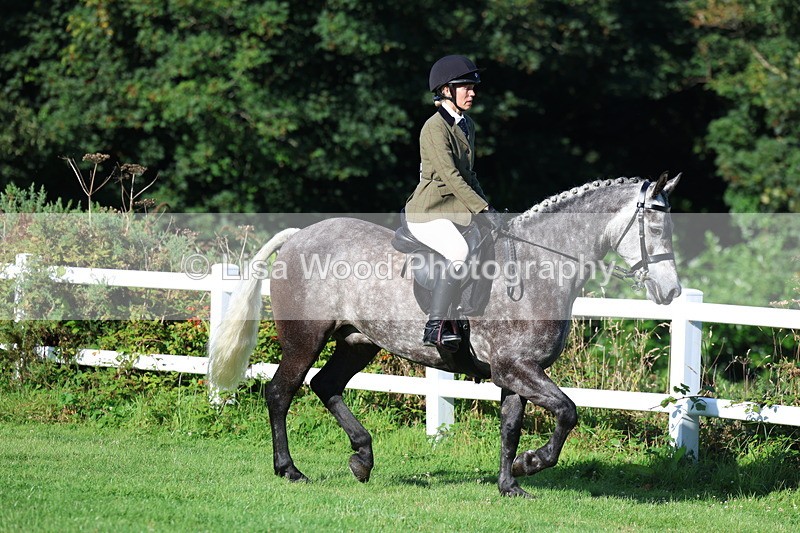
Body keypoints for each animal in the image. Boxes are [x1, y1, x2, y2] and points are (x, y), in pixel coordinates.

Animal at [207, 173, 681, 498]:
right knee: (280, 393)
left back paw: (362, 458)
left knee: (327, 385)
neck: (537, 267)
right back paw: (290, 469)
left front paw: (510, 484)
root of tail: (300, 236)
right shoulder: (517, 368)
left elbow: (510, 427)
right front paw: (530, 464)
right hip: (304, 340)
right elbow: (567, 412)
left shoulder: (515, 372)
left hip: (358, 342)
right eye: (656, 228)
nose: (672, 292)